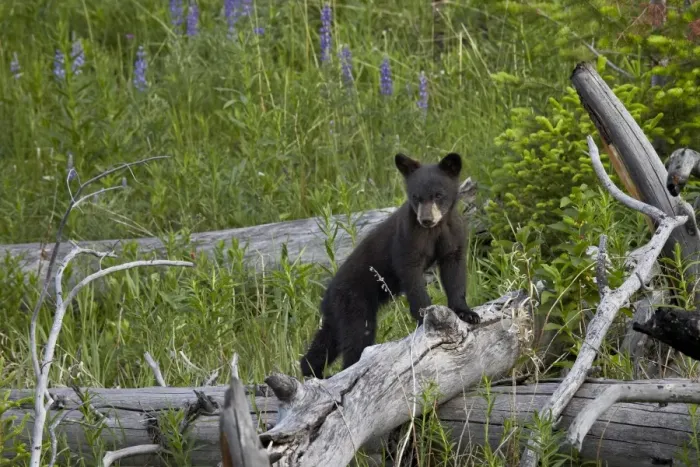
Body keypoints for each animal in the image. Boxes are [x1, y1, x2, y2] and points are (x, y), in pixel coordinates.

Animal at [299, 152, 480, 379]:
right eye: (416, 197)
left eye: (438, 195)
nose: (426, 219)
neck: (434, 230)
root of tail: (327, 296)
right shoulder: (408, 238)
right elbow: (411, 274)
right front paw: (424, 315)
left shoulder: (452, 234)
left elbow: (454, 271)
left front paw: (467, 313)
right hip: (354, 301)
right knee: (357, 337)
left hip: (338, 312)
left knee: (327, 340)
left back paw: (311, 371)